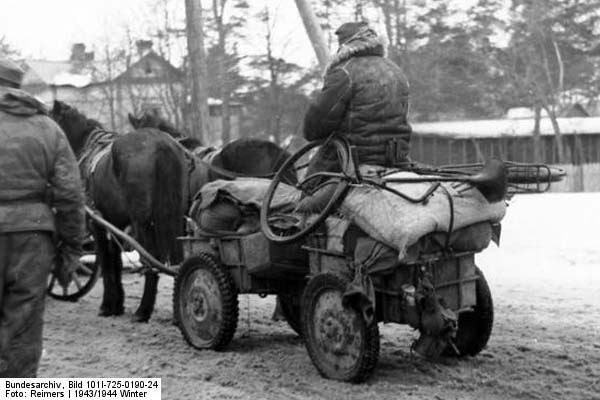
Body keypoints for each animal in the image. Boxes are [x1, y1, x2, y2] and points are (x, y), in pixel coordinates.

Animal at [52, 102, 186, 322]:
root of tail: (161, 144)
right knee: (177, 259)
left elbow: (107, 260)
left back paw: (143, 310)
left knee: (150, 259)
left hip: (142, 223)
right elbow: (115, 259)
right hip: (174, 217)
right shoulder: (116, 222)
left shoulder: (97, 223)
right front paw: (117, 304)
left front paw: (108, 305)